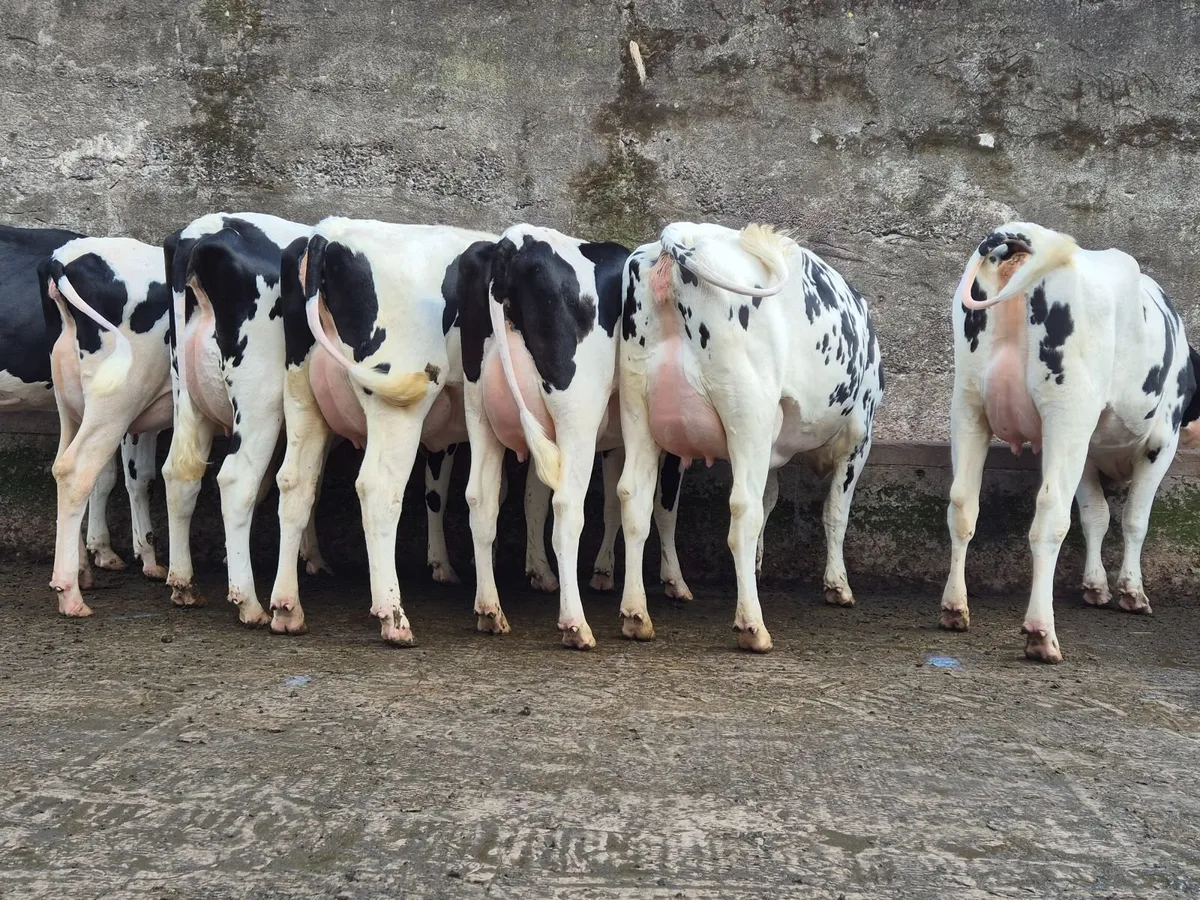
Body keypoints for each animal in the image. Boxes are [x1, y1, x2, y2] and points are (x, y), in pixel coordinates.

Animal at [39, 236, 173, 616]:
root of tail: (65, 257)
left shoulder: (144, 423)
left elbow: (140, 477)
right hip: (115, 402)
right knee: (75, 472)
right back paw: (69, 593)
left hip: (75, 405)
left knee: (64, 468)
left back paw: (82, 570)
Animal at [457, 224, 691, 648]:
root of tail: (517, 239)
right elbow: (662, 508)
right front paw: (671, 583)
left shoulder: (615, 443)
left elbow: (611, 500)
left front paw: (603, 572)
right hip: (576, 412)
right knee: (566, 508)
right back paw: (575, 624)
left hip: (479, 410)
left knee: (480, 499)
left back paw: (490, 611)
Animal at [616, 222, 884, 653]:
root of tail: (683, 235)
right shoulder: (859, 436)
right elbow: (835, 512)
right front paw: (838, 586)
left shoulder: (772, 450)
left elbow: (770, 499)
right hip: (749, 409)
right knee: (742, 509)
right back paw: (752, 626)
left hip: (637, 404)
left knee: (636, 500)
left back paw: (636, 615)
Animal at [939, 222, 1200, 662]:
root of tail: (1025, 235)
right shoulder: (1159, 444)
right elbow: (1134, 520)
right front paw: (1132, 592)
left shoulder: (1085, 453)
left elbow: (1096, 515)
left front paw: (1095, 587)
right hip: (1068, 411)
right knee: (1049, 515)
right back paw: (1041, 633)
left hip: (969, 404)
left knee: (962, 503)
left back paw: (955, 609)